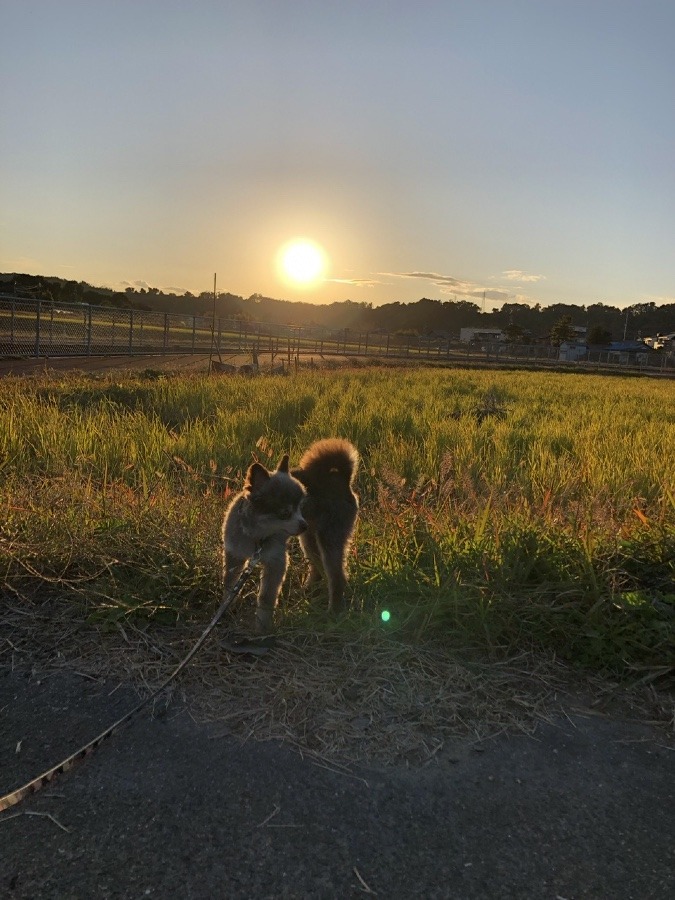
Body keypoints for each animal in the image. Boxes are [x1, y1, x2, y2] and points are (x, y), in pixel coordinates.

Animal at [222, 440, 360, 628]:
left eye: (301, 506)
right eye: (285, 513)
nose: (303, 524)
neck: (256, 536)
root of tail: (342, 478)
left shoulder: (276, 562)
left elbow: (266, 597)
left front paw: (263, 626)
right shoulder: (234, 556)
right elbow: (229, 586)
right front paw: (226, 610)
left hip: (330, 537)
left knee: (336, 577)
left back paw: (334, 611)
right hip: (309, 540)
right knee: (317, 566)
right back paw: (308, 590)